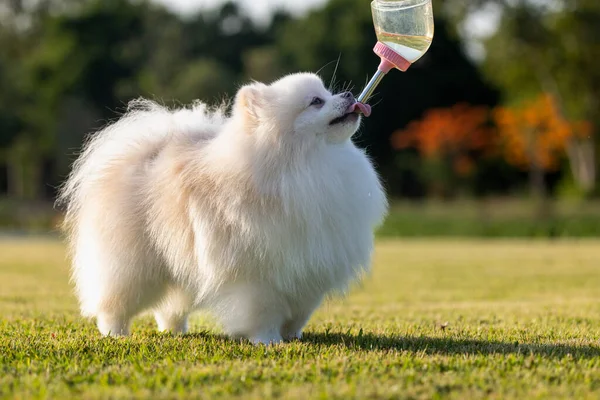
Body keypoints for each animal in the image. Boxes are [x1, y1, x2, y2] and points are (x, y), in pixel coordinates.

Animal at [58, 72, 390, 344]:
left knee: (171, 306)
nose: (349, 94)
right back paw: (115, 333)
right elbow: (264, 312)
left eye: (327, 92)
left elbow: (299, 311)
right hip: (133, 266)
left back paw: (174, 330)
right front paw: (268, 340)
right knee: (114, 302)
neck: (306, 164)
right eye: (316, 101)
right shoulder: (258, 274)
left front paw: (293, 336)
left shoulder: (309, 266)